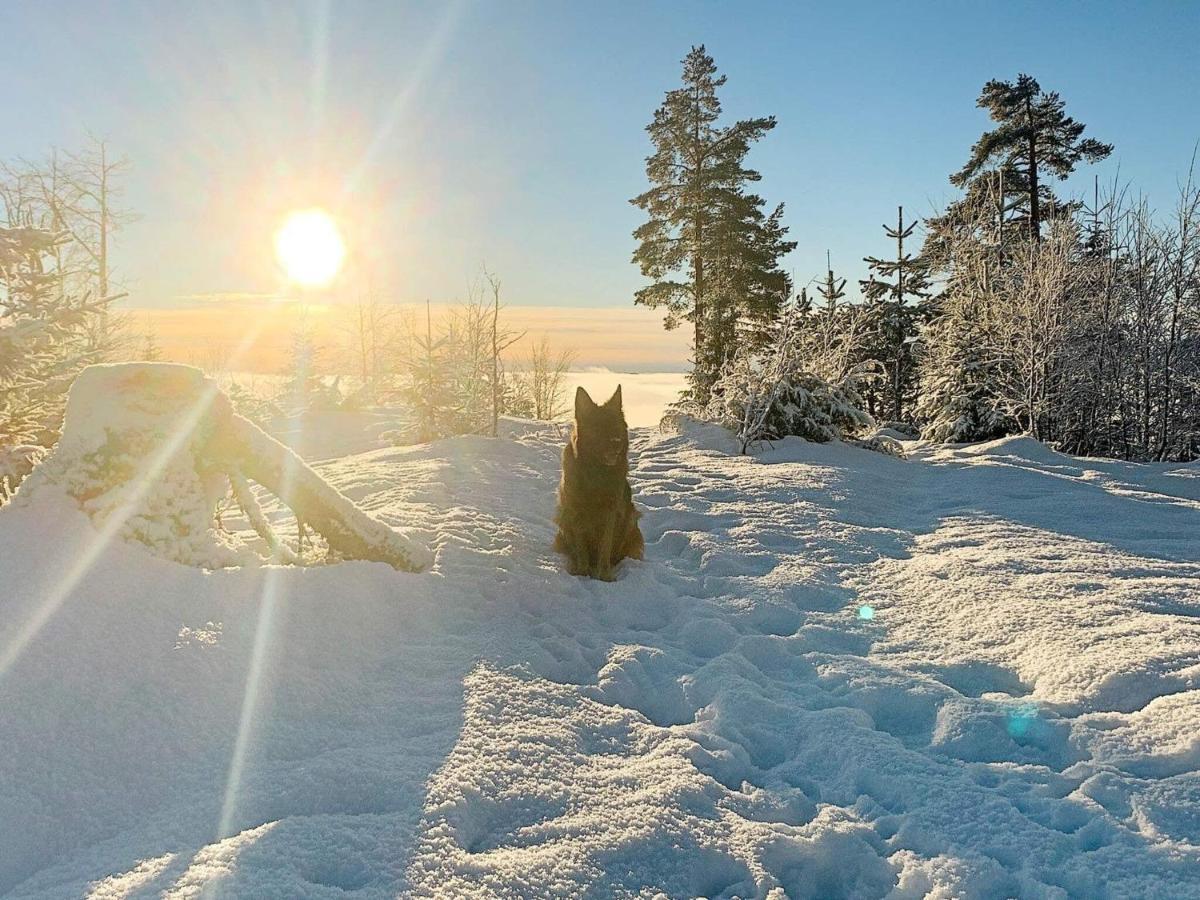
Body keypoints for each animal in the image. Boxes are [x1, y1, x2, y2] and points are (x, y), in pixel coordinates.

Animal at [554, 384, 648, 580]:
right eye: (598, 426)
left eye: (616, 425)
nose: (617, 442)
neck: (597, 472)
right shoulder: (575, 511)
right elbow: (581, 547)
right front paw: (583, 572)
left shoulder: (610, 513)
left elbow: (605, 547)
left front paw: (604, 576)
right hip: (562, 518)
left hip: (631, 518)